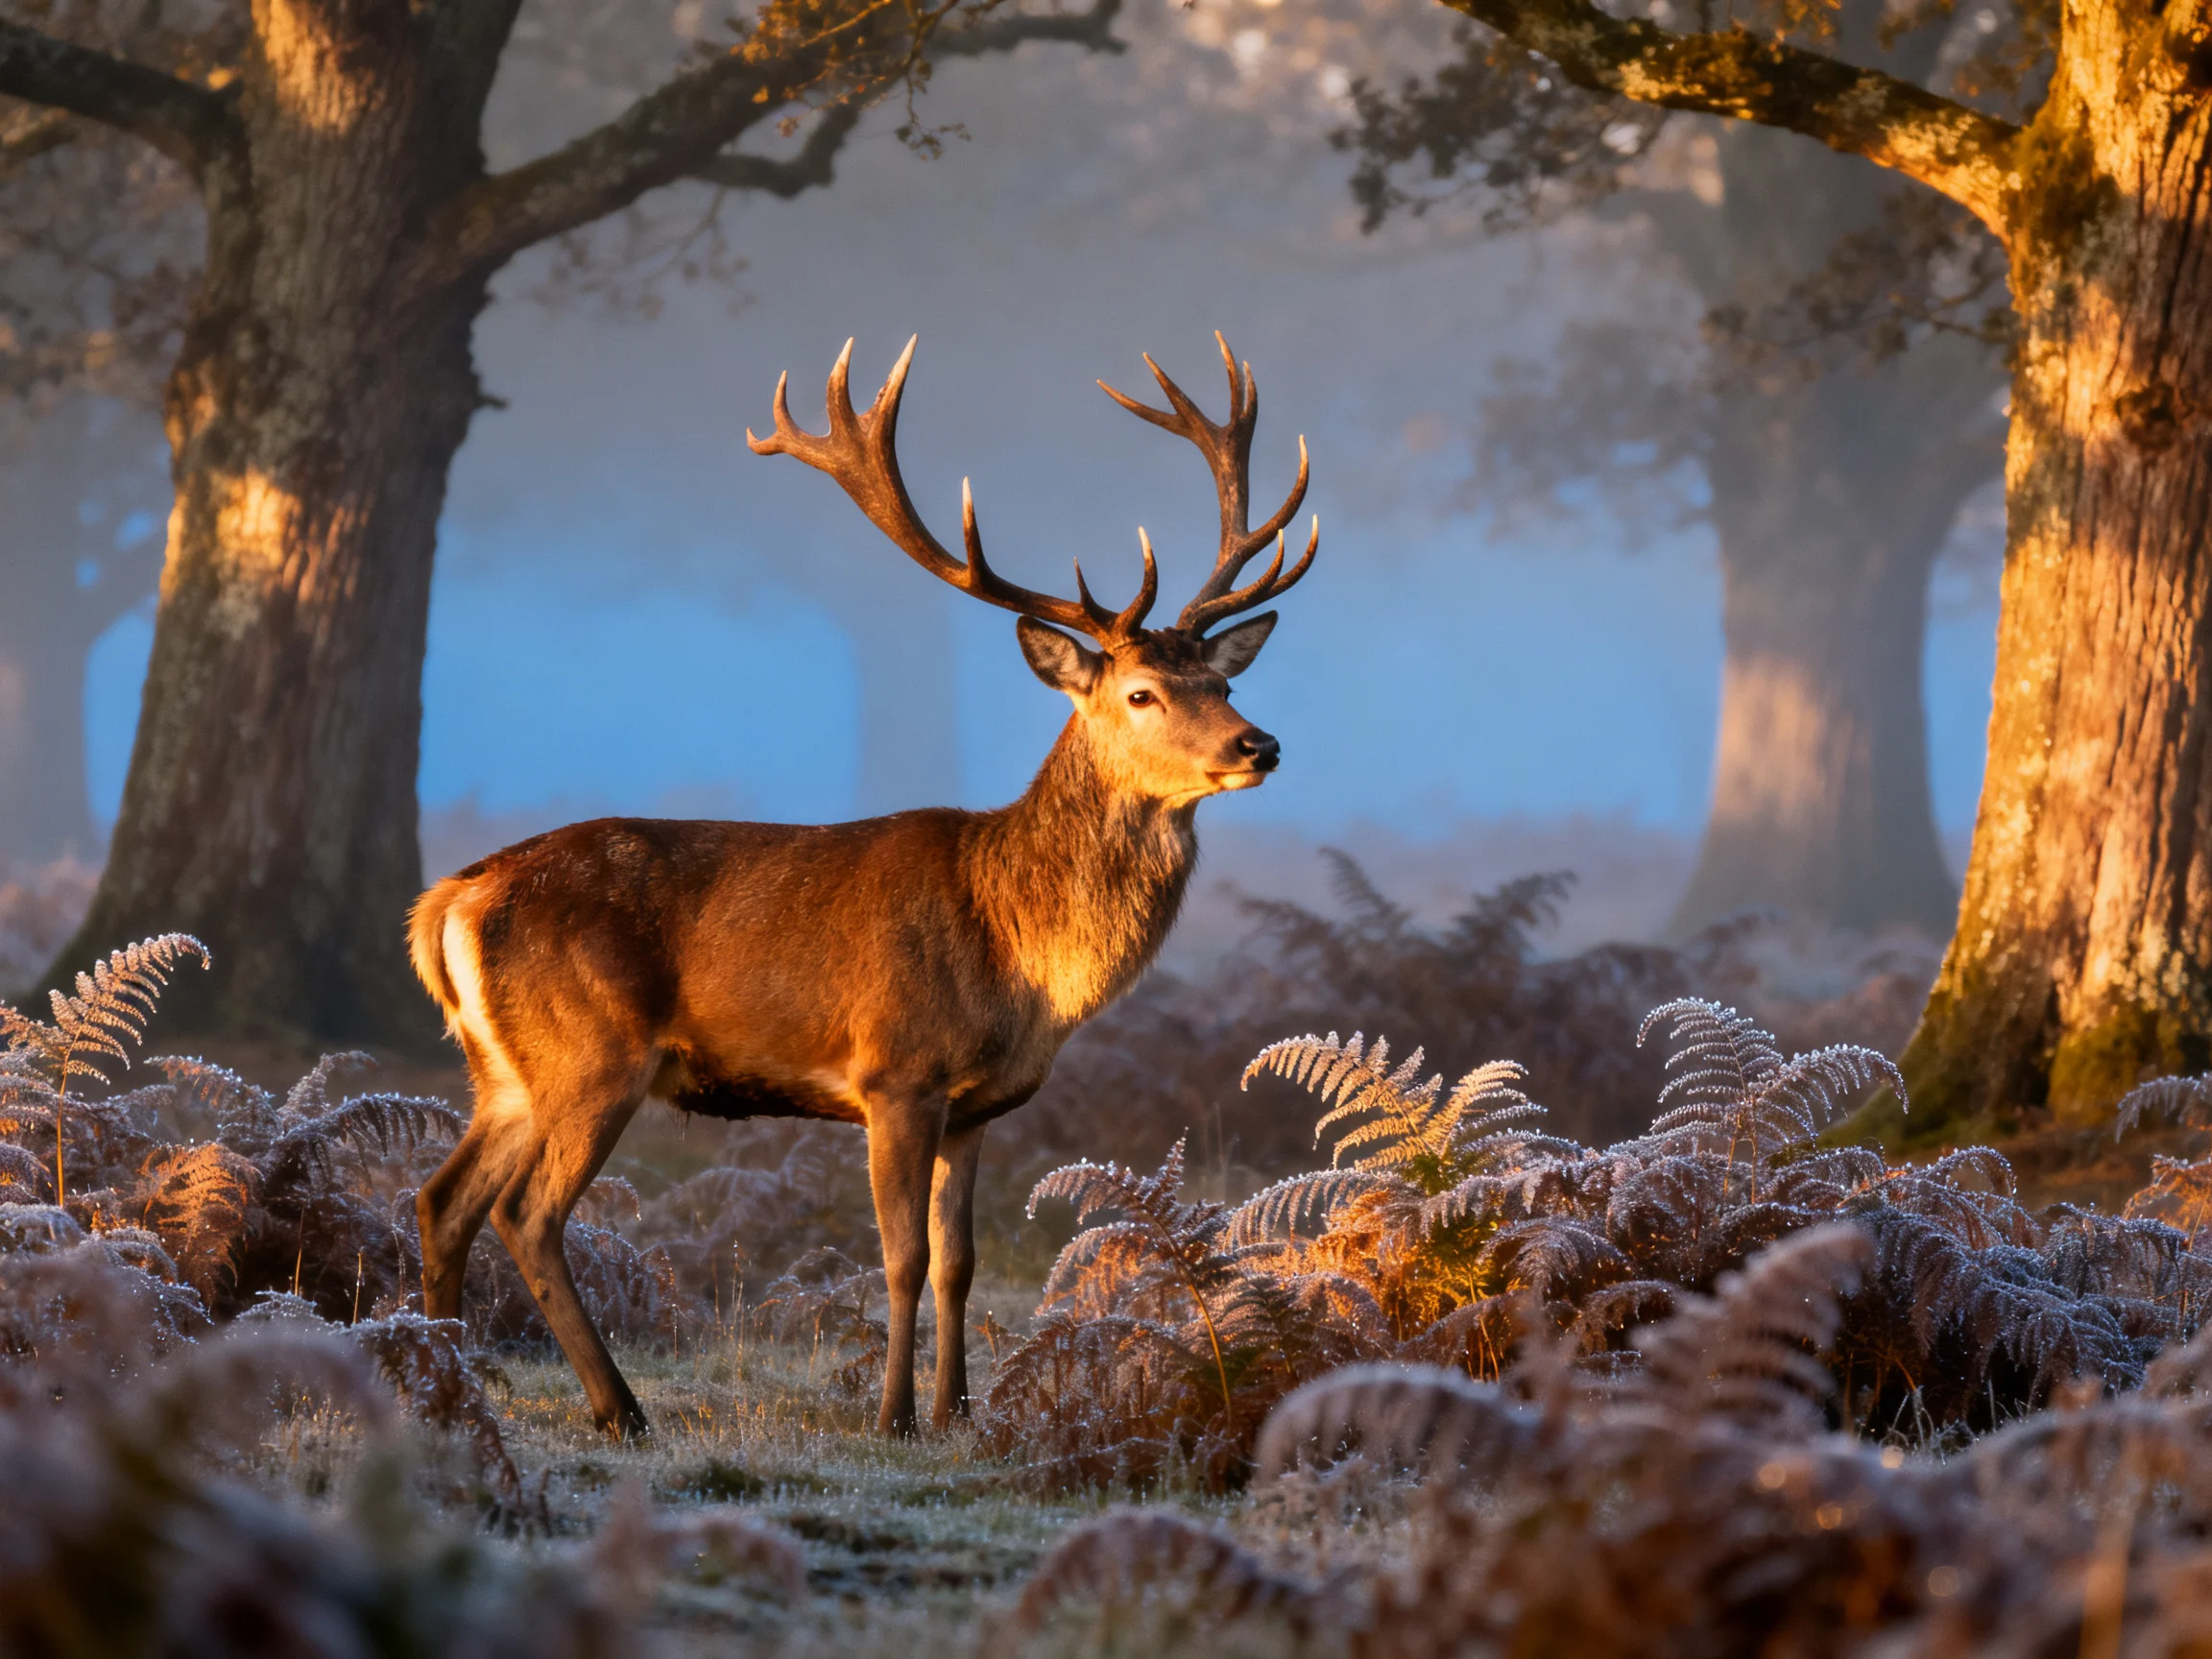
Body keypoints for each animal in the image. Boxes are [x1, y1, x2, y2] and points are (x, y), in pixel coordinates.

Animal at [406, 334, 1317, 1440]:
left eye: (1222, 681)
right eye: (1142, 693)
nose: (1259, 745)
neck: (1020, 959)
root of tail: (449, 900)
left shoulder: (974, 1107)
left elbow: (961, 1261)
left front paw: (961, 1413)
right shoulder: (895, 1071)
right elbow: (902, 1256)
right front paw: (893, 1419)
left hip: (504, 1070)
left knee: (442, 1198)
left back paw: (450, 1387)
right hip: (591, 1052)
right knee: (527, 1212)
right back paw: (618, 1409)